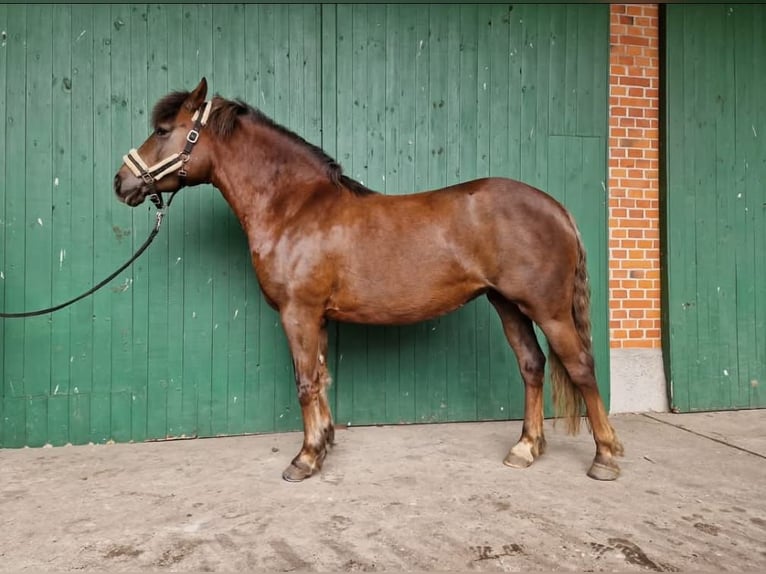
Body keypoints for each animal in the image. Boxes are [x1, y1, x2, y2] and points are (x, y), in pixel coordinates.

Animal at [117, 76, 628, 482]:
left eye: (163, 131)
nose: (122, 182)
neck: (294, 207)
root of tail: (556, 208)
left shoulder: (299, 313)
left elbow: (305, 381)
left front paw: (304, 459)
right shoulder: (317, 317)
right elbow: (322, 376)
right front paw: (323, 444)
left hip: (548, 309)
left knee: (581, 367)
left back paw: (604, 457)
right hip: (507, 305)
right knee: (532, 365)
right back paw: (525, 448)